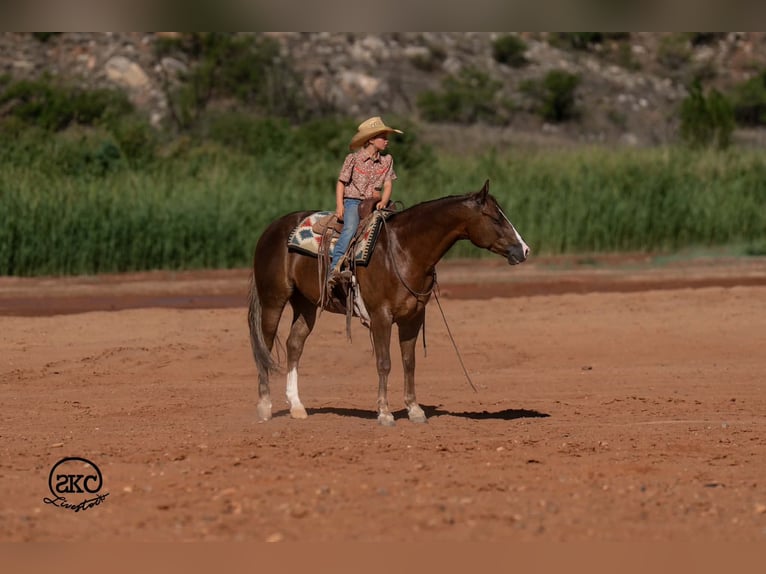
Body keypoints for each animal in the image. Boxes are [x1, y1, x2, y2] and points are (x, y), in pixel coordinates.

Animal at [247, 180, 530, 426]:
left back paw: (297, 406)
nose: (524, 250)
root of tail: (271, 229)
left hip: (306, 304)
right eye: (495, 218)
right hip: (274, 300)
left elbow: (409, 362)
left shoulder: (413, 318)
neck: (404, 250)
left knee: (294, 345)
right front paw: (384, 413)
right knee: (266, 346)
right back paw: (264, 407)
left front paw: (414, 410)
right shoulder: (380, 317)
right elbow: (384, 363)